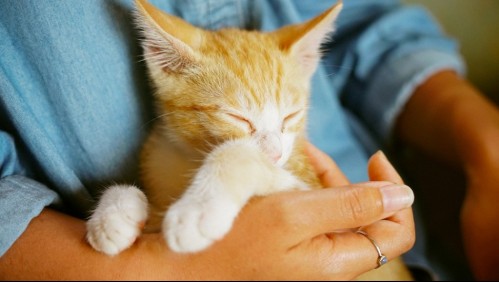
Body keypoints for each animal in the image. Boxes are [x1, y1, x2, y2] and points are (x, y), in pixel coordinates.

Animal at [88, 0, 342, 256]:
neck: (190, 158)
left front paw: (196, 210)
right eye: (238, 118)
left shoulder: (308, 190)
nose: (275, 155)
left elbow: (236, 152)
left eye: (290, 116)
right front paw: (112, 214)